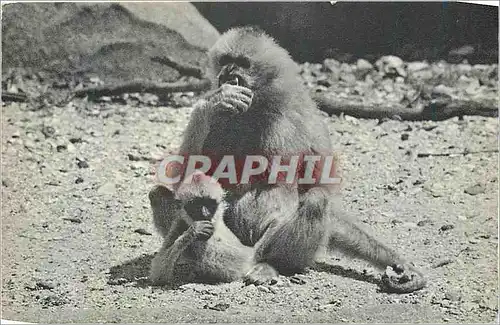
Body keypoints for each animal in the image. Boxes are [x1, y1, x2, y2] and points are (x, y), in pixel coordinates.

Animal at [156, 26, 426, 292]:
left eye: (242, 63)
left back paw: (271, 265)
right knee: (159, 194)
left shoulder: (306, 116)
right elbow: (187, 178)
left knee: (316, 199)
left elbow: (319, 190)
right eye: (226, 60)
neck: (257, 107)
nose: (229, 73)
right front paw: (214, 102)